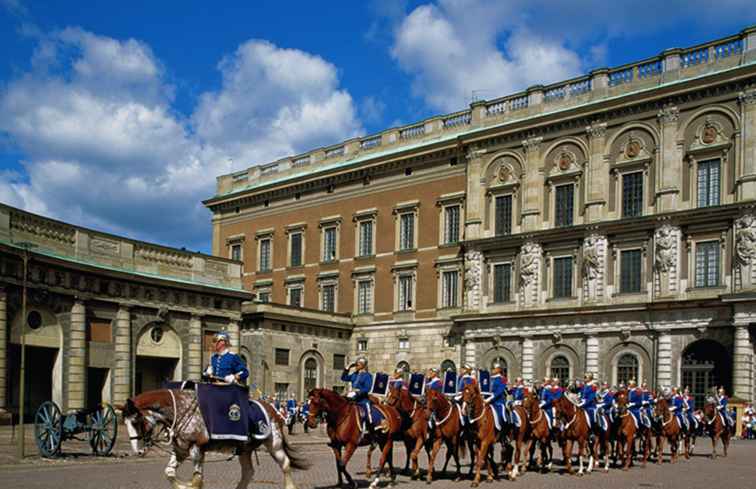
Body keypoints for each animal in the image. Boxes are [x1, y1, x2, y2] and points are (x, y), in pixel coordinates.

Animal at [119, 388, 308, 488]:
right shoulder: (180, 451)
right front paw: (182, 485)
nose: (138, 451)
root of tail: (271, 409)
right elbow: (169, 472)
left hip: (274, 444)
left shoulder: (196, 449)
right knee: (248, 472)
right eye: (125, 422)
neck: (182, 410)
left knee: (285, 464)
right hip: (245, 450)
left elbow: (196, 481)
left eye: (136, 421)